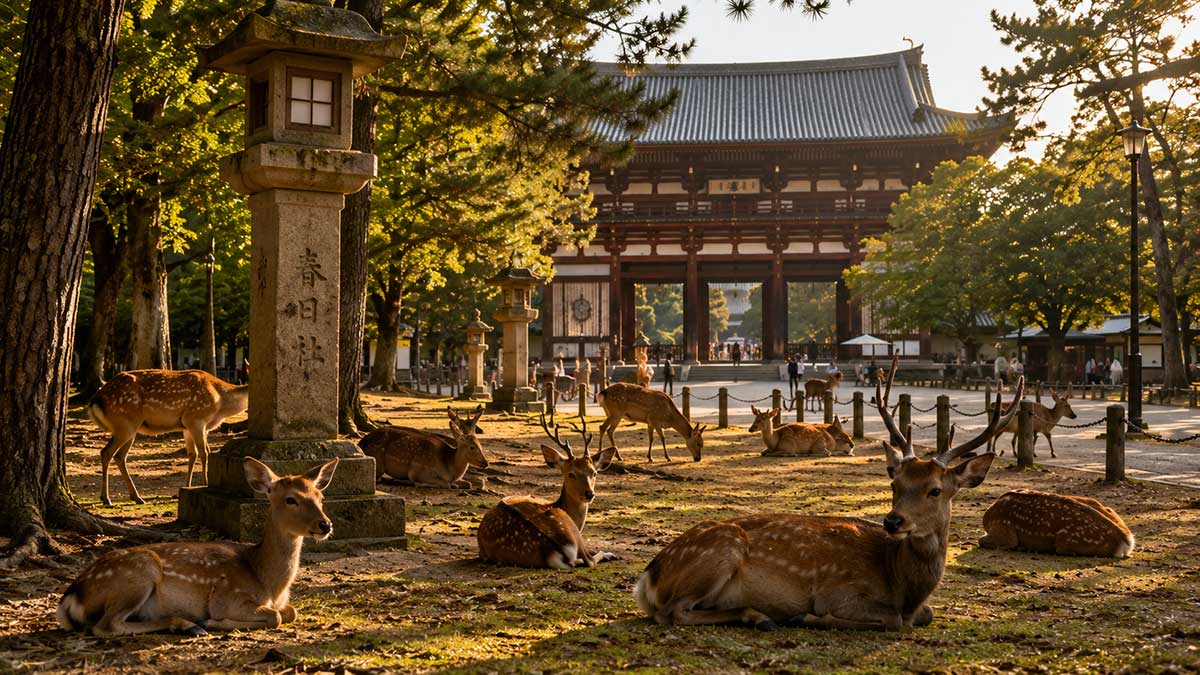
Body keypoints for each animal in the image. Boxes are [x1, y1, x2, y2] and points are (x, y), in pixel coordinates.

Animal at [57, 457, 338, 636]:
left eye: (320, 496)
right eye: (291, 499)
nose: (325, 524)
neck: (268, 582)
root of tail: (71, 597)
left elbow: (290, 611)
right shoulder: (228, 598)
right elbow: (276, 616)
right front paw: (211, 621)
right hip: (137, 575)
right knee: (105, 626)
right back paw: (190, 625)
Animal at [89, 369, 249, 506]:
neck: (221, 403)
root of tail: (95, 400)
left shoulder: (187, 427)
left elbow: (192, 454)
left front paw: (186, 487)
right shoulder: (196, 418)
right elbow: (204, 453)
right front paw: (204, 483)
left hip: (130, 428)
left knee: (120, 456)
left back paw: (136, 497)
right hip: (125, 424)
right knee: (106, 452)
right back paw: (106, 498)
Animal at [358, 406, 488, 488]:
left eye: (480, 444)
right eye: (472, 447)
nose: (485, 462)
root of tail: (360, 443)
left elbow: (468, 483)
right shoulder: (418, 471)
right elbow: (446, 484)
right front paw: (418, 483)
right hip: (378, 462)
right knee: (378, 478)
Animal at [476, 412, 618, 569]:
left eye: (594, 473)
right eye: (571, 474)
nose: (589, 494)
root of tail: (553, 549)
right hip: (571, 529)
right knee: (590, 560)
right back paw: (609, 554)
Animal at [634, 354, 1024, 631]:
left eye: (936, 490)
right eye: (894, 483)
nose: (893, 521)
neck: (903, 585)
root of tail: (647, 577)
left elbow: (925, 614)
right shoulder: (839, 593)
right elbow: (892, 620)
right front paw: (805, 617)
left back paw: (758, 616)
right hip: (722, 551)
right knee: (673, 612)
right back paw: (762, 616)